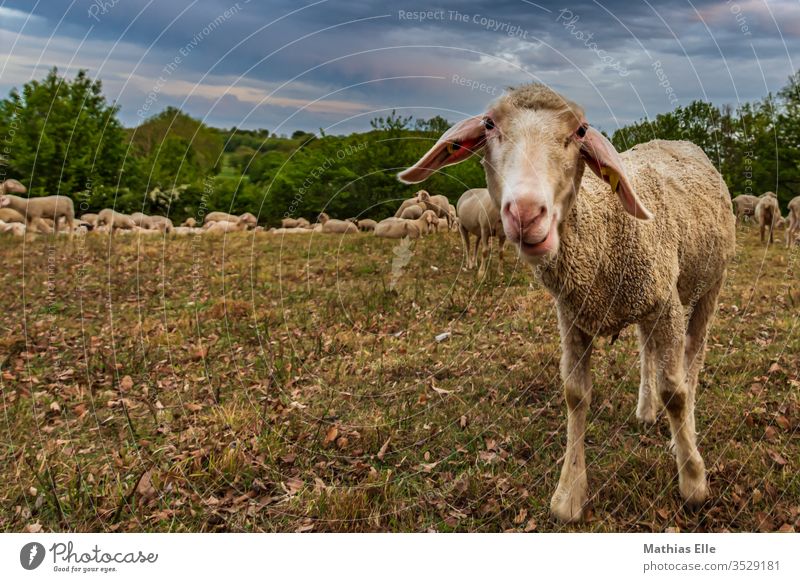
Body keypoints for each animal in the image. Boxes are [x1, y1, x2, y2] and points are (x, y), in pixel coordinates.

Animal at [400, 82, 736, 524]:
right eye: (489, 125)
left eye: (579, 132)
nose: (526, 213)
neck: (603, 224)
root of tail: (681, 142)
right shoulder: (574, 315)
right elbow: (576, 394)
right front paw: (569, 495)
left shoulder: (664, 304)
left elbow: (675, 391)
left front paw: (693, 482)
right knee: (647, 351)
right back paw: (646, 411)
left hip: (708, 283)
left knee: (693, 357)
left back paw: (683, 432)